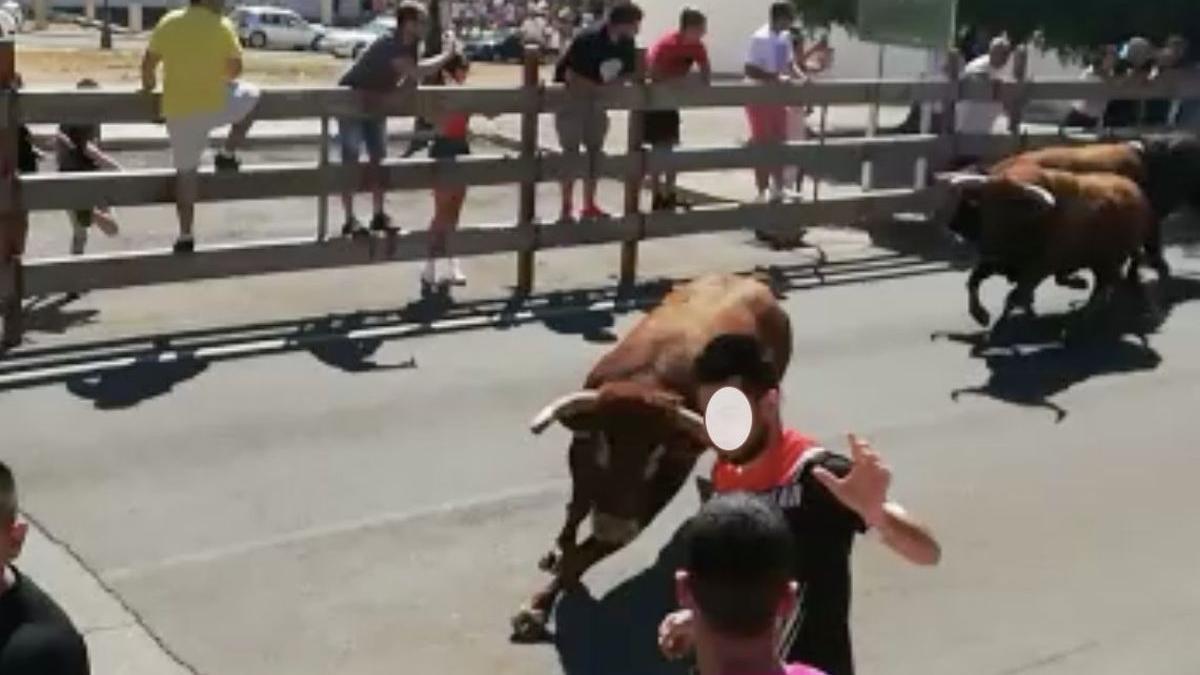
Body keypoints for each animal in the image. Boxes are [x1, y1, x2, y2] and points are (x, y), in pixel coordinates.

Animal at [511, 270, 792, 638]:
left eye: (657, 457)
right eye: (602, 444)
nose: (613, 527)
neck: (647, 381)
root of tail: (754, 281)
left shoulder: (658, 491)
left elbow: (586, 554)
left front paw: (541, 602)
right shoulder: (580, 458)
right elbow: (576, 510)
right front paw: (557, 556)